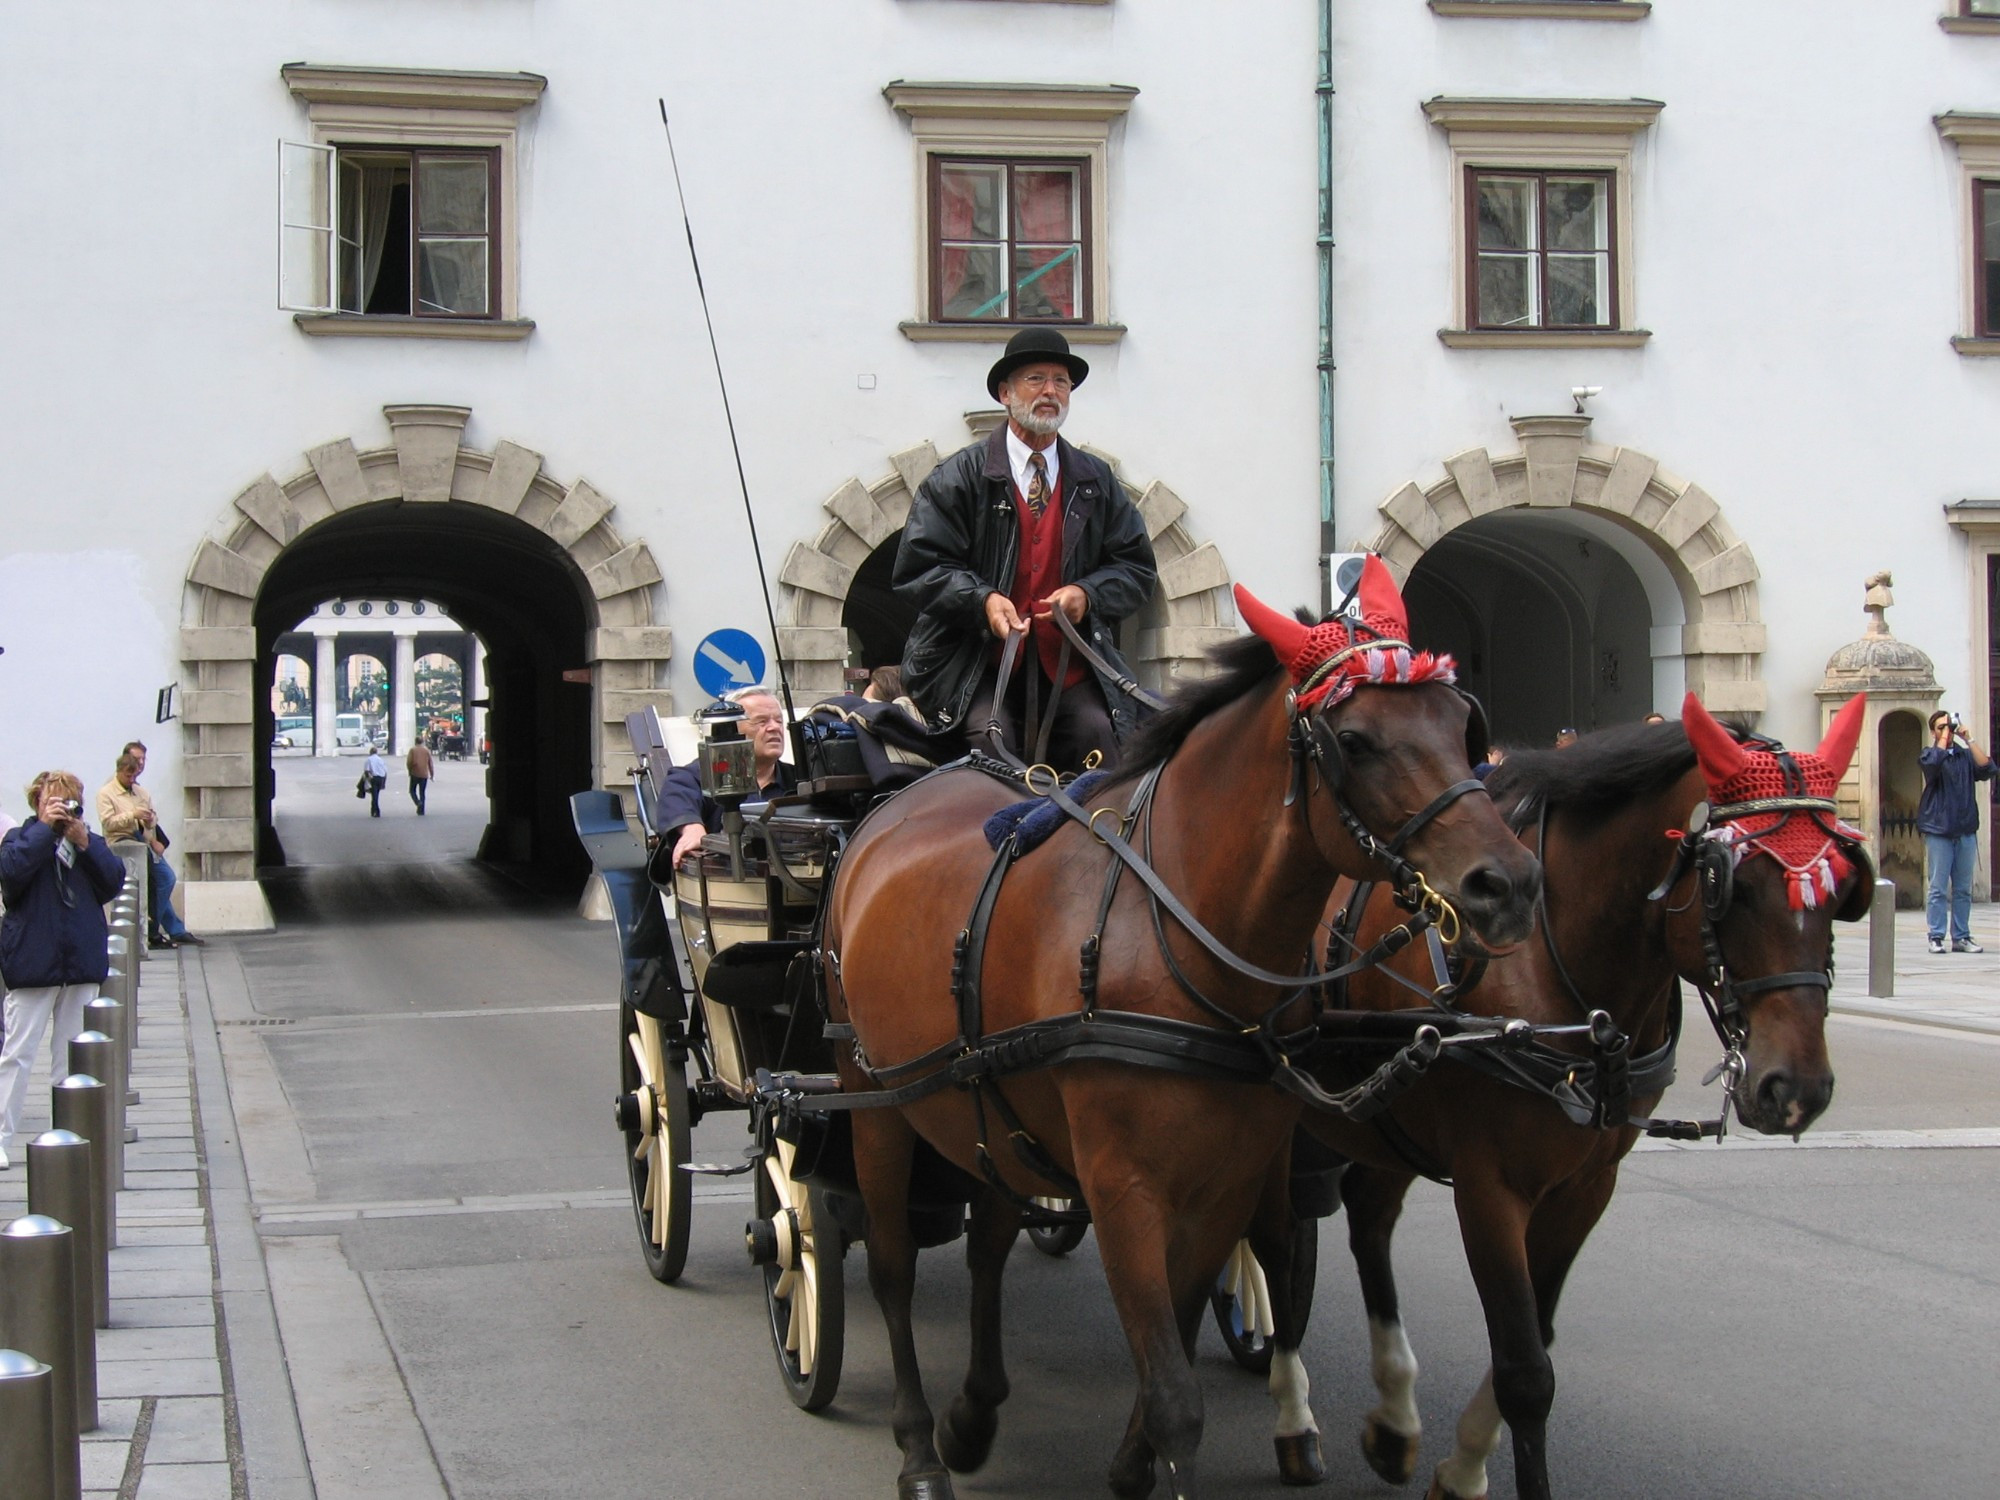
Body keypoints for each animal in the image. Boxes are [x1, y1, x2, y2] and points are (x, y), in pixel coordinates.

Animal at [820, 564, 1536, 1500]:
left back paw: (972, 1417)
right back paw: (917, 1445)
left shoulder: (1225, 1181)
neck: (1180, 926)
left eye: (1462, 724)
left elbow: (1180, 1346)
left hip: (988, 1102)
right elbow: (1173, 1396)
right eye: (1356, 740)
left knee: (989, 1244)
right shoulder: (1125, 1189)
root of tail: (905, 795)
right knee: (893, 1265)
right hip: (869, 1095)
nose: (1509, 884)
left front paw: (1130, 1469)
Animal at [1280, 692, 1872, 1500]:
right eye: (1732, 885)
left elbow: (1538, 1337)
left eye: (1844, 886)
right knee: (1274, 1240)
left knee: (1366, 1219)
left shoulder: (1587, 1186)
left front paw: (1460, 1466)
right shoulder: (1490, 1189)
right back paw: (1292, 1410)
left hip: (1386, 1115)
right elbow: (1526, 1372)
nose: (1798, 1088)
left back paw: (1394, 1419)